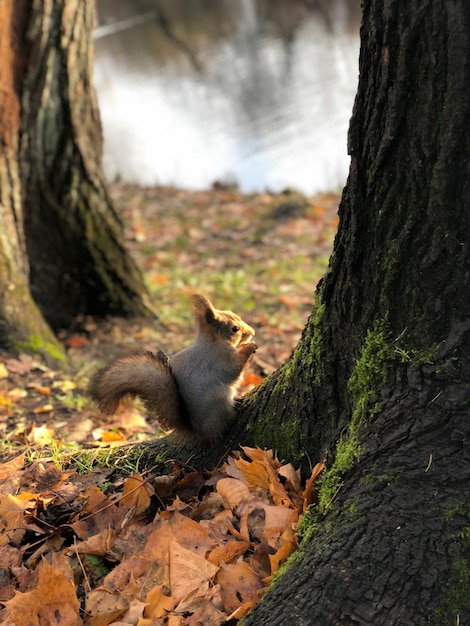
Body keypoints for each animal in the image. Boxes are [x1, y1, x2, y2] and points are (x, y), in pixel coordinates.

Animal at [88, 292, 258, 438]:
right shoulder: (219, 359)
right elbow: (233, 370)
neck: (213, 341)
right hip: (218, 403)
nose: (253, 332)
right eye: (235, 329)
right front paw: (249, 347)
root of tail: (199, 432)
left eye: (234, 313)